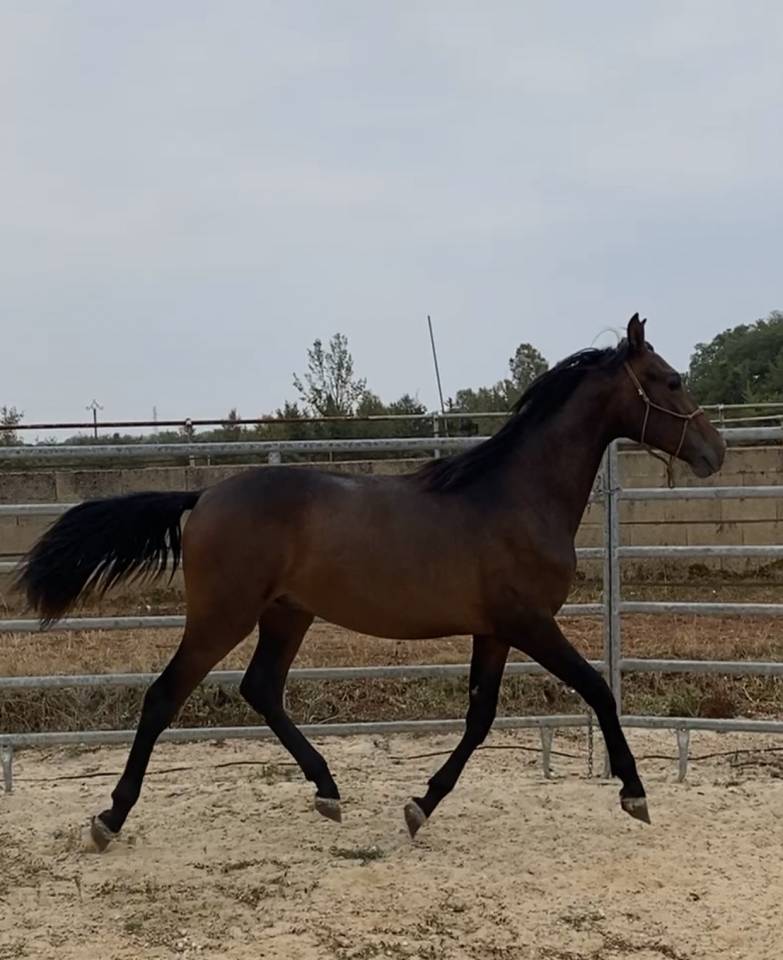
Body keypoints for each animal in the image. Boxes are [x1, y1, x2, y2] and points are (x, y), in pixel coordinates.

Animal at [15, 314, 725, 852]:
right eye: (669, 379)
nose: (715, 453)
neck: (515, 497)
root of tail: (206, 495)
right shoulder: (531, 624)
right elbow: (598, 690)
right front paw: (634, 794)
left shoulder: (495, 631)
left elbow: (479, 718)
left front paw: (419, 806)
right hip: (223, 615)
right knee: (165, 697)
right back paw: (110, 819)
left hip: (287, 613)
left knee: (261, 688)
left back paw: (328, 791)